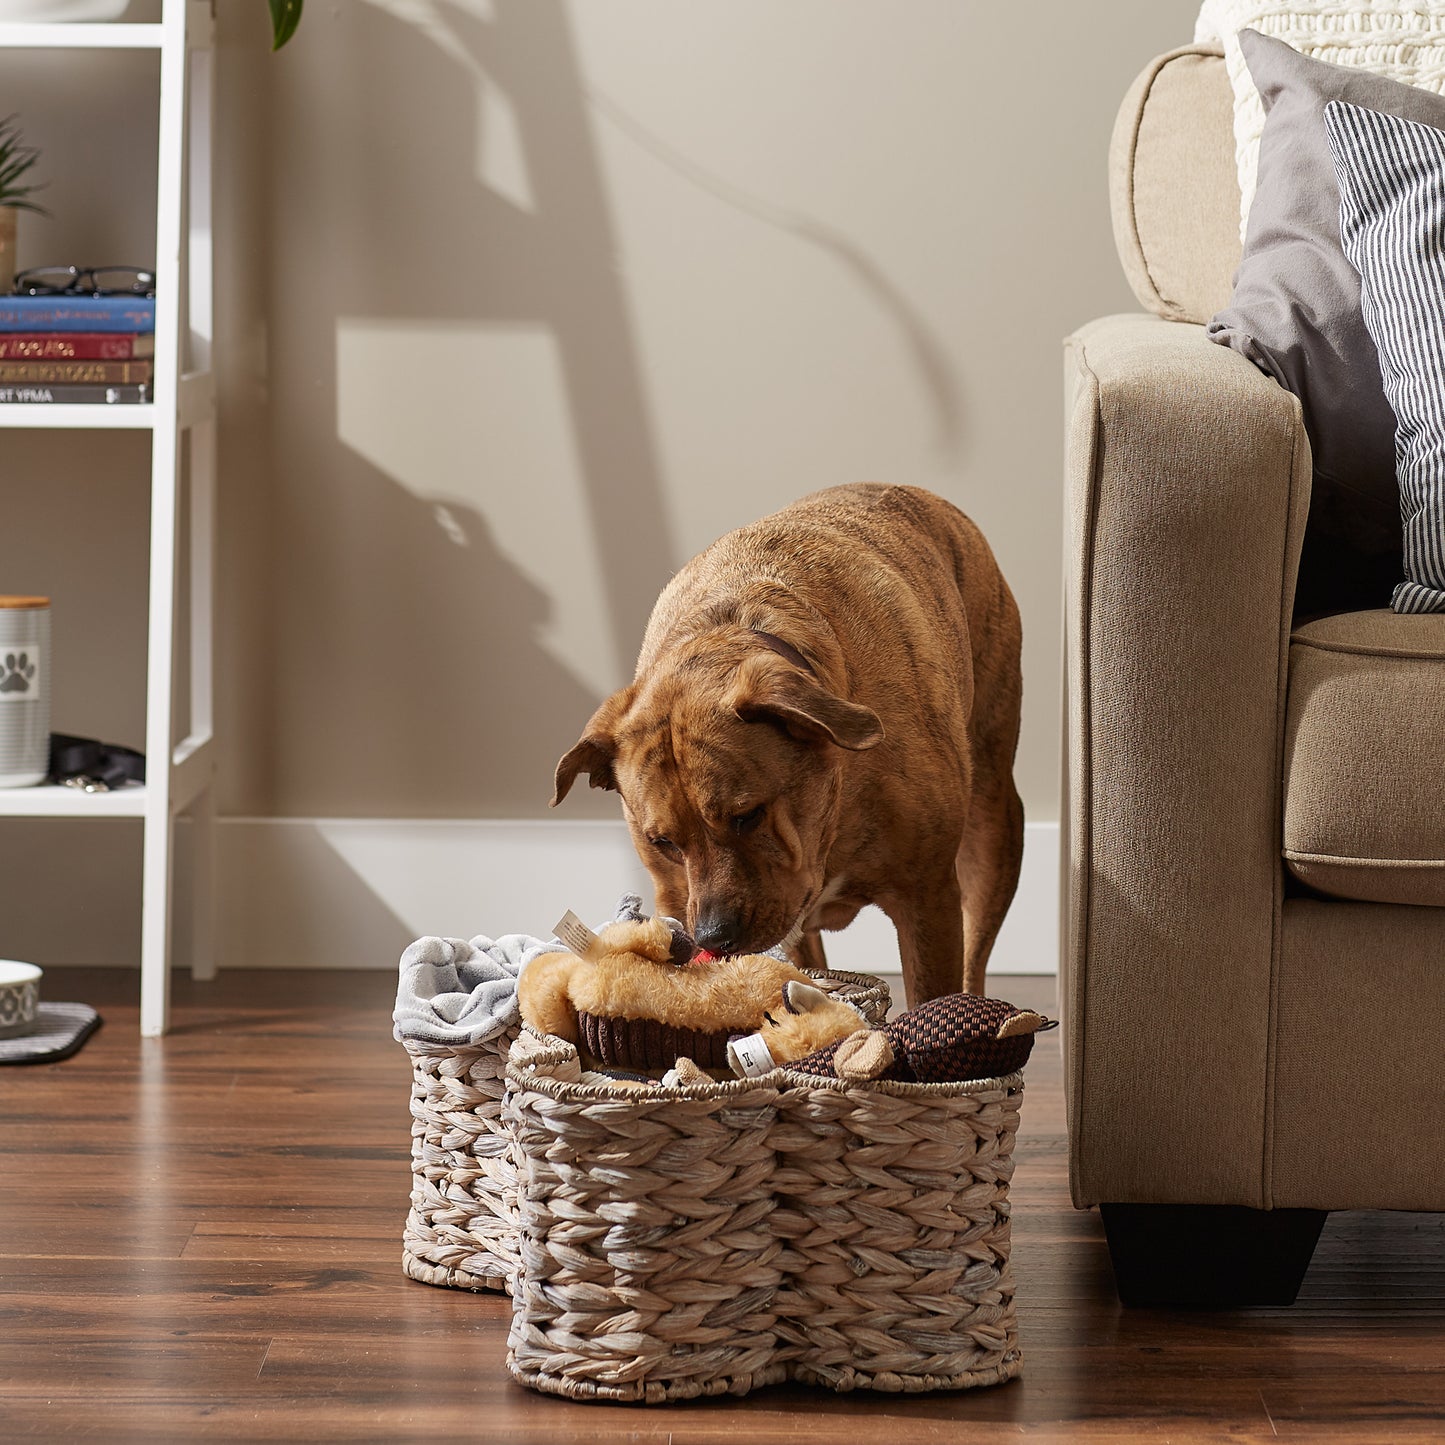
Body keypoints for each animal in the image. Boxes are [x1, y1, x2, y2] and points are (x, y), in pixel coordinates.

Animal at [546, 485, 1023, 1005]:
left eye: (748, 815)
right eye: (663, 842)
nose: (714, 937)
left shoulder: (926, 900)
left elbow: (931, 995)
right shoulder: (683, 900)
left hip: (993, 825)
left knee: (975, 956)